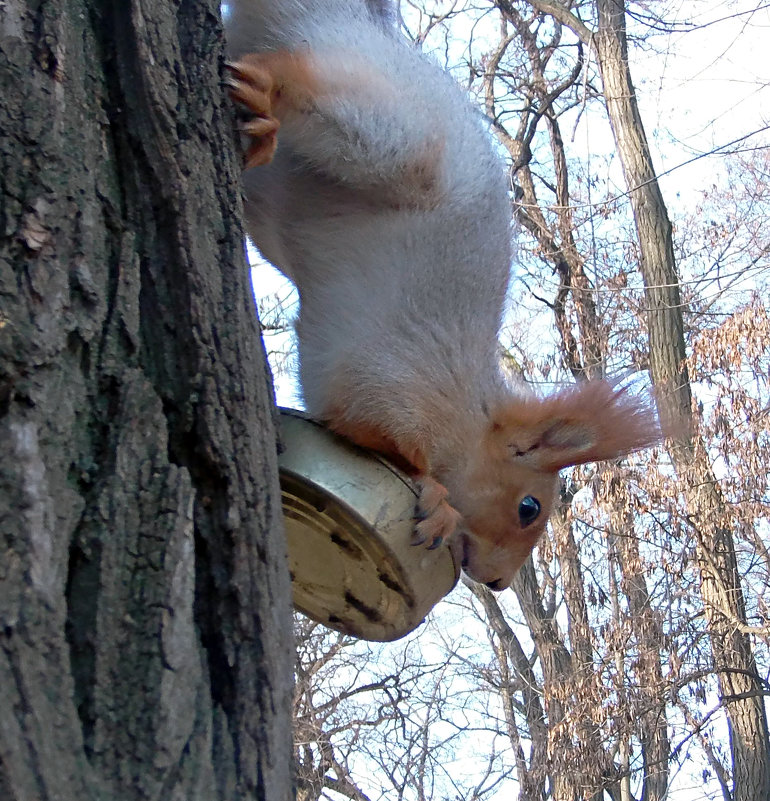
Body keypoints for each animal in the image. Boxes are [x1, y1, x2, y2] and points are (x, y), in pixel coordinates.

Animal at [225, 0, 656, 588]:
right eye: (529, 508)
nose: (498, 583)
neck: (473, 415)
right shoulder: (402, 385)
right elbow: (373, 428)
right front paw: (438, 500)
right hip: (398, 135)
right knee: (311, 81)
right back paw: (267, 89)